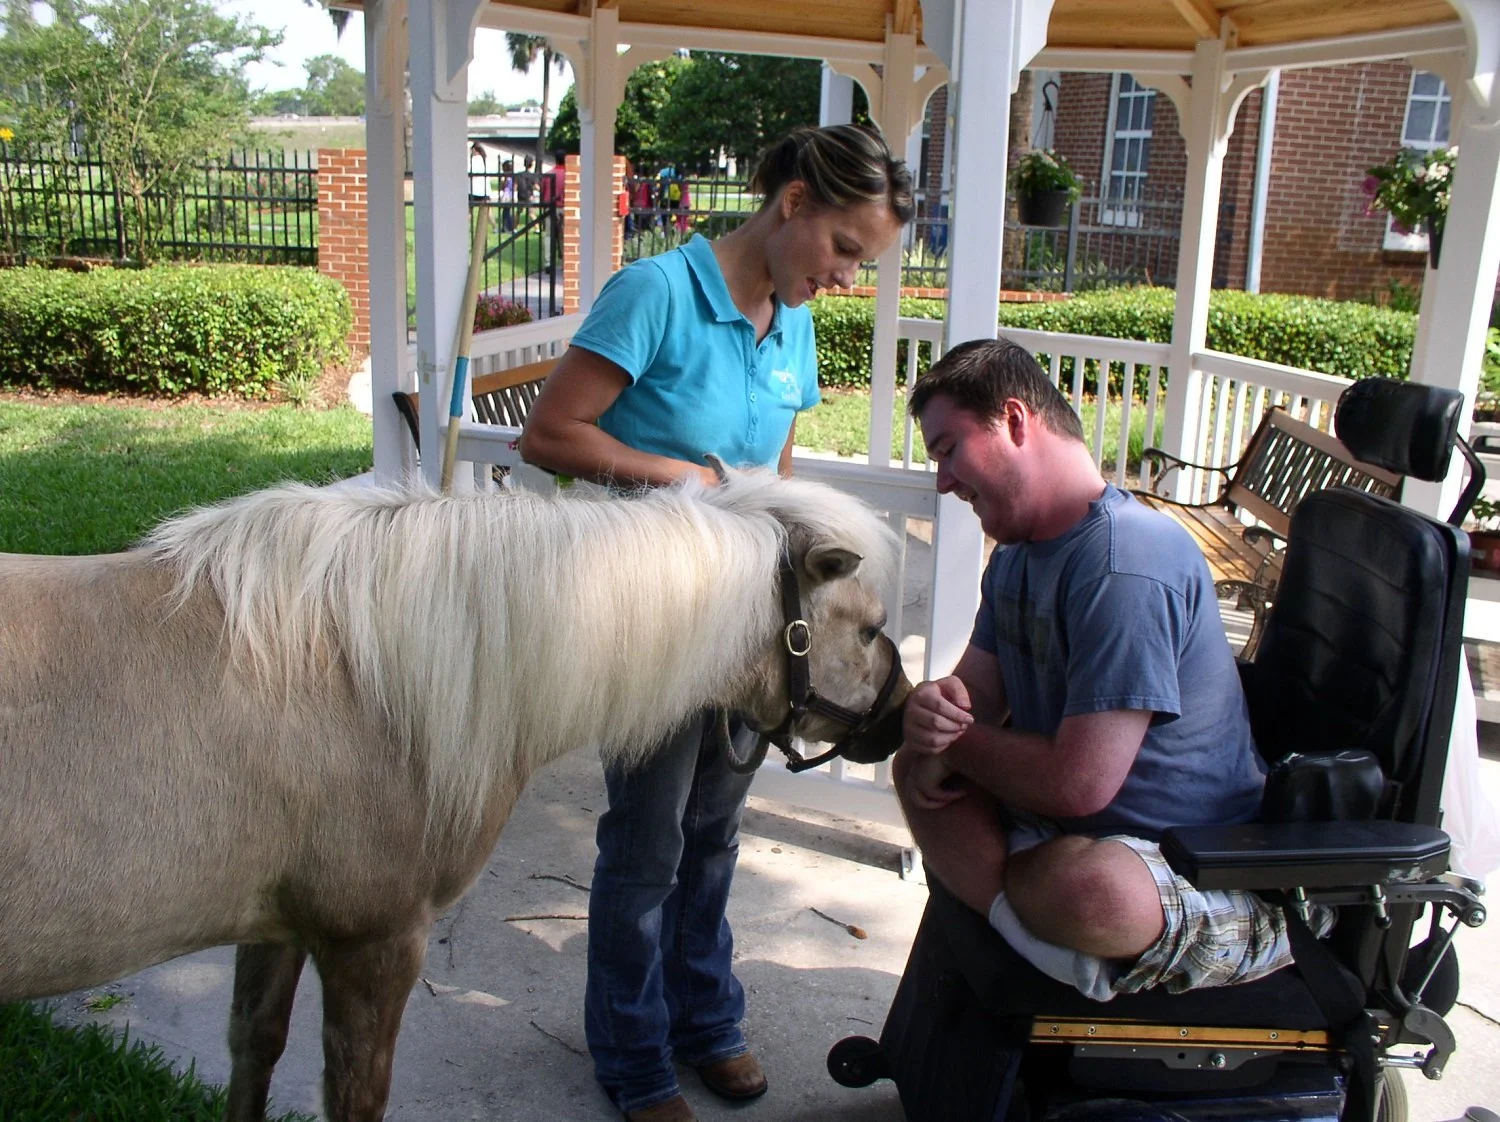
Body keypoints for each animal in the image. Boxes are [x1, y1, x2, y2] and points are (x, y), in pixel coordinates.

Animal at [0, 467, 909, 1121]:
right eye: (866, 627)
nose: (901, 719)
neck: (367, 678)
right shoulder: (374, 942)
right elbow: (355, 1096)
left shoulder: (276, 927)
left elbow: (252, 1051)